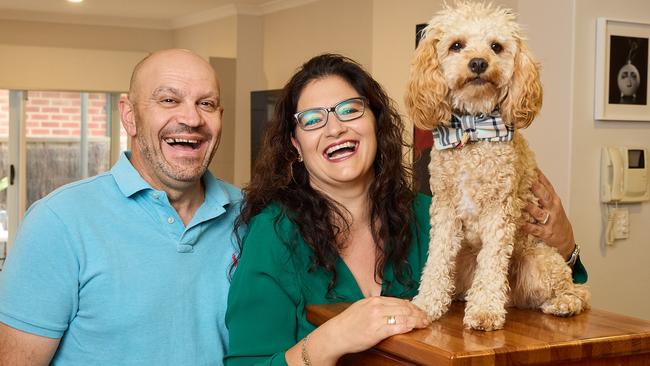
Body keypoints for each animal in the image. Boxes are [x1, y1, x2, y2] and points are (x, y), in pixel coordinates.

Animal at [404, 0, 588, 332]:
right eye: (456, 45)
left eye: (496, 46)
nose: (478, 63)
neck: (472, 130)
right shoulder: (445, 210)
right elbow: (436, 261)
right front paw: (427, 305)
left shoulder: (498, 212)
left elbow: (491, 265)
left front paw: (485, 311)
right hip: (465, 258)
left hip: (540, 260)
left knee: (577, 291)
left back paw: (563, 304)